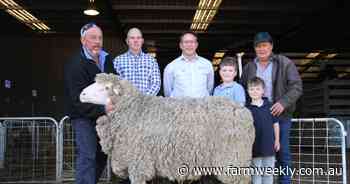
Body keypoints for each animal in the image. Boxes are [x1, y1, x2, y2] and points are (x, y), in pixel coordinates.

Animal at [79, 73, 254, 184]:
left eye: (106, 88)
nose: (82, 94)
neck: (134, 109)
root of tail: (242, 110)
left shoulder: (138, 162)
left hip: (233, 160)